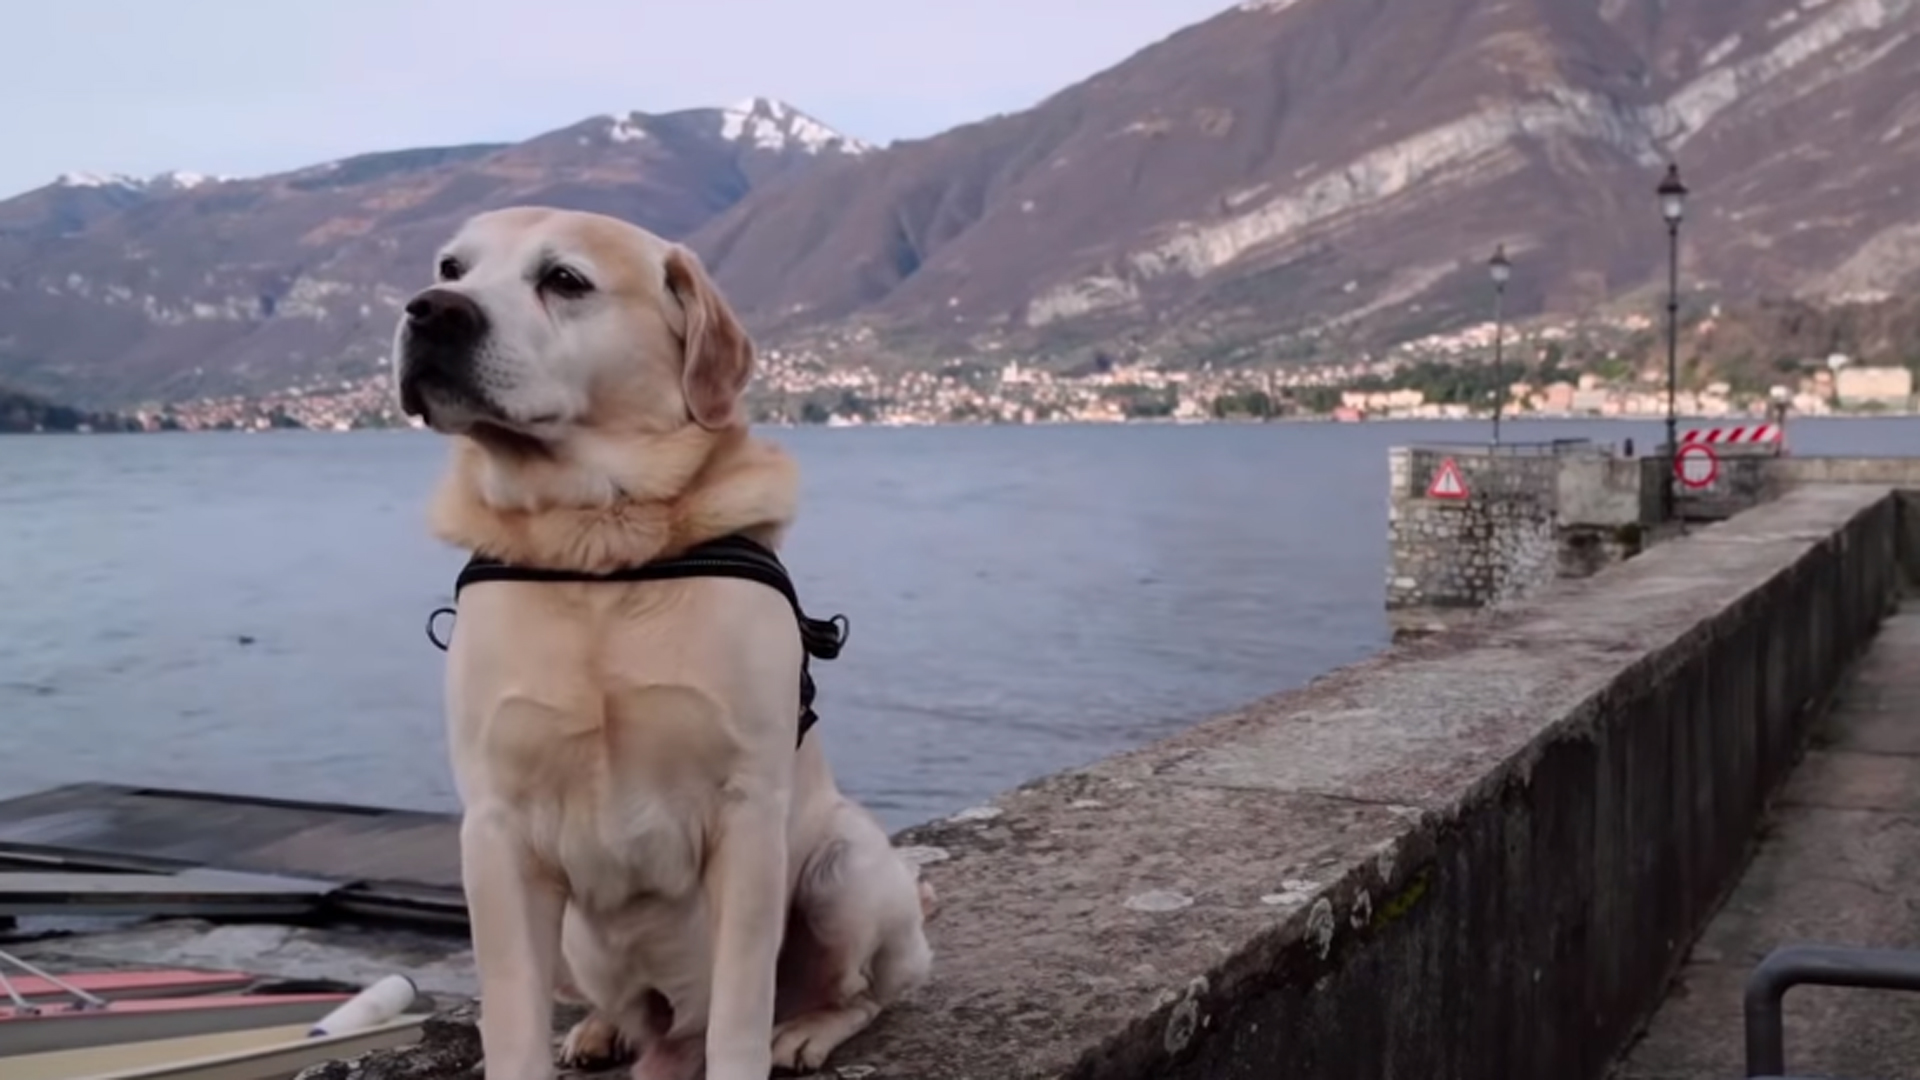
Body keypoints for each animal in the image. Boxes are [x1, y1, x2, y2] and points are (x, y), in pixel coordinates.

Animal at [395, 203, 929, 1076]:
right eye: (450, 268)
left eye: (564, 279)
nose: (432, 311)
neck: (597, 547)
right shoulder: (497, 833)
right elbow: (509, 1017)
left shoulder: (746, 813)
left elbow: (742, 1008)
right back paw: (602, 1029)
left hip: (843, 871)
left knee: (863, 992)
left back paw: (807, 1030)